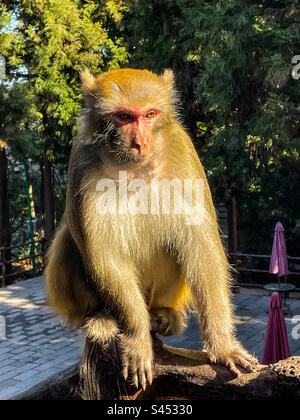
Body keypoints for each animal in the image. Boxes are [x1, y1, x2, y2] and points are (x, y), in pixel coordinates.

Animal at [44, 67, 258, 388]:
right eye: (124, 117)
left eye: (149, 114)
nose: (140, 142)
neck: (133, 167)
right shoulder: (82, 159)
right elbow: (103, 253)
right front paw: (137, 338)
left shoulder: (183, 150)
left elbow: (201, 247)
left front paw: (222, 346)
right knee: (69, 239)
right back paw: (102, 317)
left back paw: (164, 316)